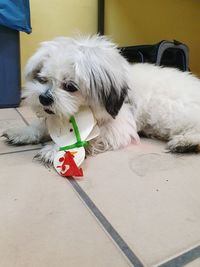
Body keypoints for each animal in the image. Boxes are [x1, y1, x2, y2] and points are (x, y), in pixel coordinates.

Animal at [2, 35, 200, 165]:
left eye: (70, 86)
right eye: (43, 79)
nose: (44, 97)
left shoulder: (118, 126)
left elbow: (89, 137)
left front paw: (56, 149)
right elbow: (40, 126)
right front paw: (22, 132)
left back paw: (185, 143)